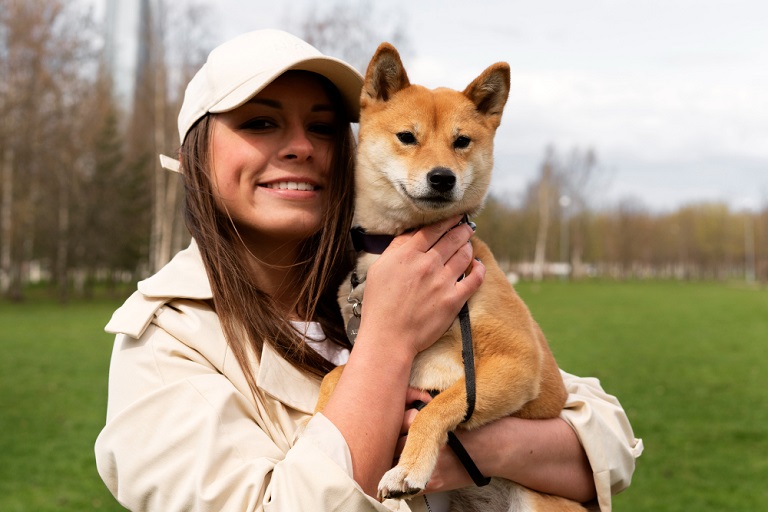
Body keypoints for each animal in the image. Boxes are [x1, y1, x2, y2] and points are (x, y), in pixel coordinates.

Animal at [316, 43, 584, 512]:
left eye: (462, 142)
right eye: (407, 137)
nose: (442, 177)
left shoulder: (518, 361)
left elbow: (439, 407)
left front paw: (408, 469)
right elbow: (336, 376)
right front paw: (316, 422)